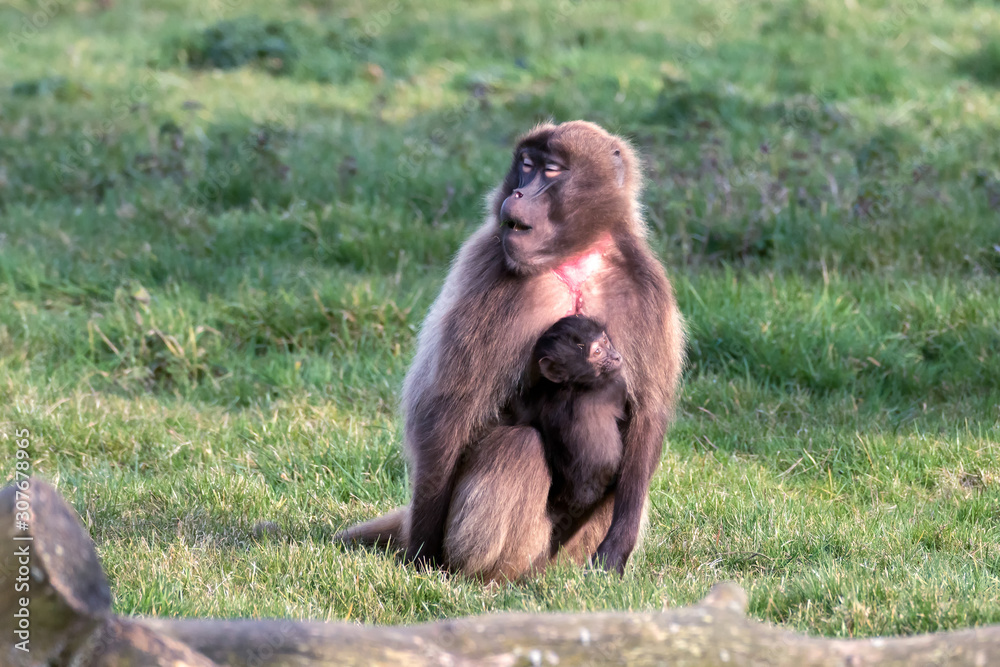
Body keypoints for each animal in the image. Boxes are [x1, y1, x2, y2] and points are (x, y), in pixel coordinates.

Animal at [509, 315, 627, 552]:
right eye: (597, 352)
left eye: (606, 342)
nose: (617, 356)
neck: (573, 385)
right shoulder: (615, 385)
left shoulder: (541, 394)